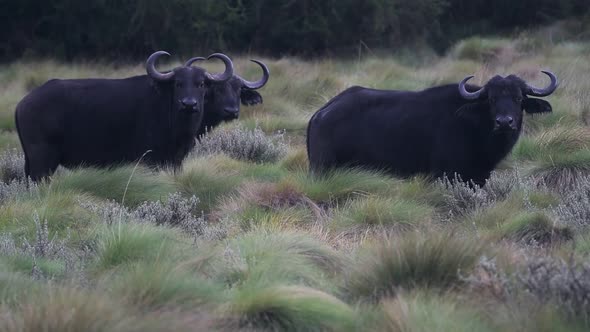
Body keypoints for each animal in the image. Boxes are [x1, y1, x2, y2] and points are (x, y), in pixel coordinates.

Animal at [15, 50, 235, 183]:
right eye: (178, 83)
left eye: (201, 84)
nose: (189, 104)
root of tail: (22, 105)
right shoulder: (150, 159)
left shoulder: (176, 160)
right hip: (42, 159)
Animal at [308, 70, 560, 187]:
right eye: (491, 99)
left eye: (518, 98)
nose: (504, 122)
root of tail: (321, 114)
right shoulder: (445, 173)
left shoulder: (480, 175)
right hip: (322, 168)